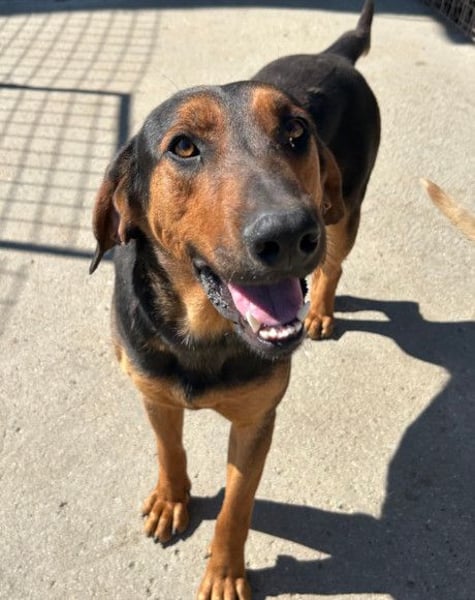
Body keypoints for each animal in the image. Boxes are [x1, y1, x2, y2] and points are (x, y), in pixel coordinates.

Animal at [90, 1, 380, 597]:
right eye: (183, 146)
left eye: (295, 131)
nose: (289, 234)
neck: (203, 332)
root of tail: (335, 53)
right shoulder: (153, 395)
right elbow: (169, 448)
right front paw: (171, 499)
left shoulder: (256, 423)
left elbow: (237, 508)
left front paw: (224, 573)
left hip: (345, 211)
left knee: (335, 264)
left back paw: (320, 310)